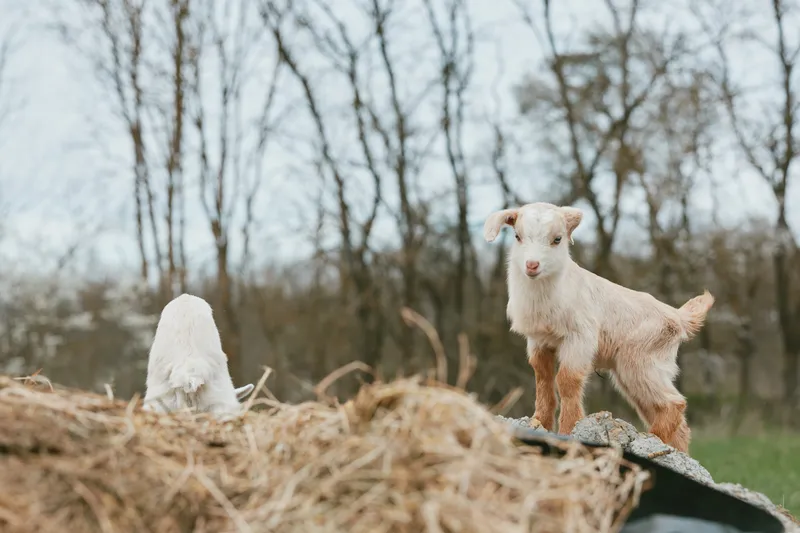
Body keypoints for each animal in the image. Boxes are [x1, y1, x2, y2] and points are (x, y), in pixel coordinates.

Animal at [484, 202, 714, 452]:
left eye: (557, 239)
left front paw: (568, 430)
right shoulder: (538, 340)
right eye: (517, 236)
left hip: (642, 363)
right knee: (673, 418)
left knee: (674, 403)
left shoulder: (580, 338)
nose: (532, 265)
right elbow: (542, 377)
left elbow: (567, 380)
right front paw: (539, 423)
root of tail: (679, 317)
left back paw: (649, 441)